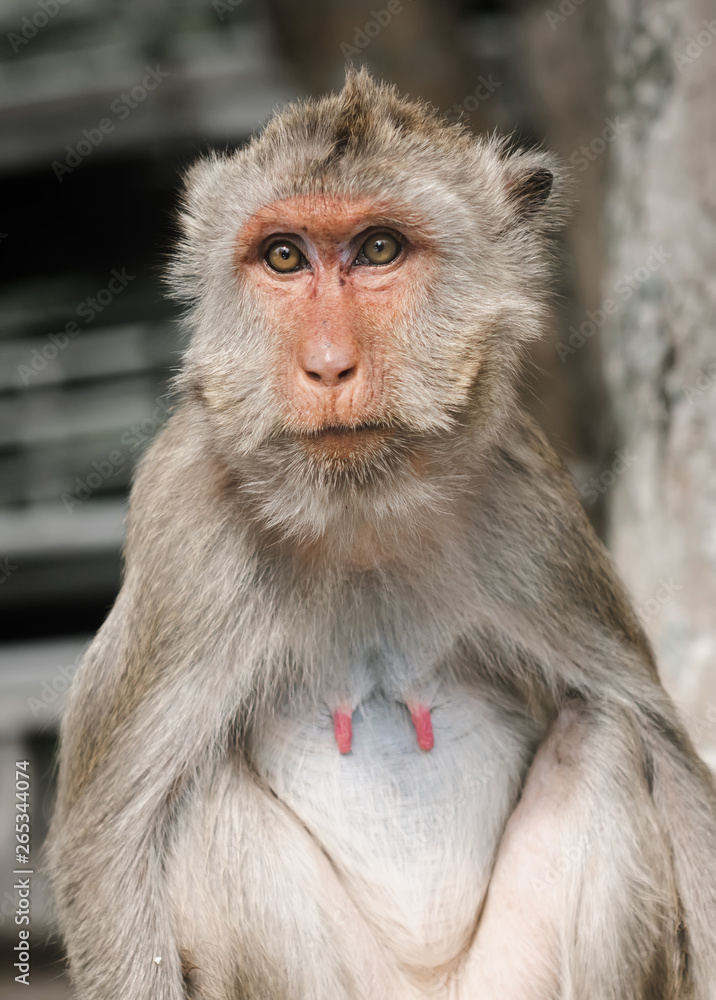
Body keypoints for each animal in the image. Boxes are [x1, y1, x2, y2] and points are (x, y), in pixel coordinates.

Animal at [47, 69, 716, 1000]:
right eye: (284, 257)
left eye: (379, 250)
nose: (328, 365)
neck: (357, 515)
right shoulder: (186, 523)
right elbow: (109, 844)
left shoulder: (530, 504)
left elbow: (670, 761)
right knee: (196, 797)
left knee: (607, 734)